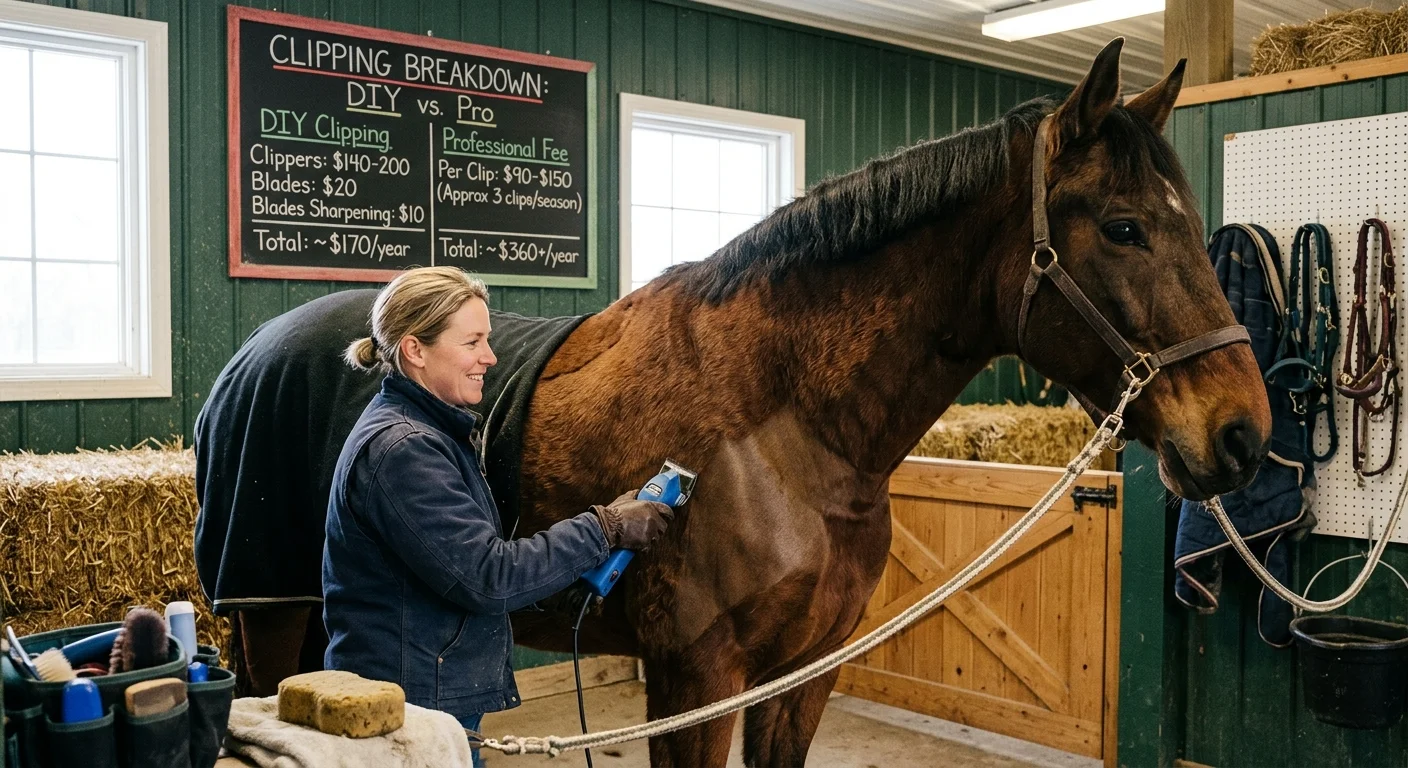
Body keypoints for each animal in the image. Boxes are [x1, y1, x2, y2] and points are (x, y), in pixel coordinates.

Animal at [195, 38, 1269, 767]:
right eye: (1124, 227)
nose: (1242, 434)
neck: (784, 427)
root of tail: (253, 357)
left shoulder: (803, 675)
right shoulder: (694, 680)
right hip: (272, 616)